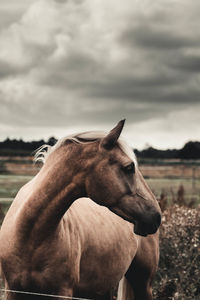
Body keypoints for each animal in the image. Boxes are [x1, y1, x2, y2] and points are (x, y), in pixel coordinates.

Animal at [0, 120, 160, 300]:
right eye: (129, 167)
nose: (156, 216)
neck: (30, 236)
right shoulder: (12, 290)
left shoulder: (63, 292)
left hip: (143, 284)